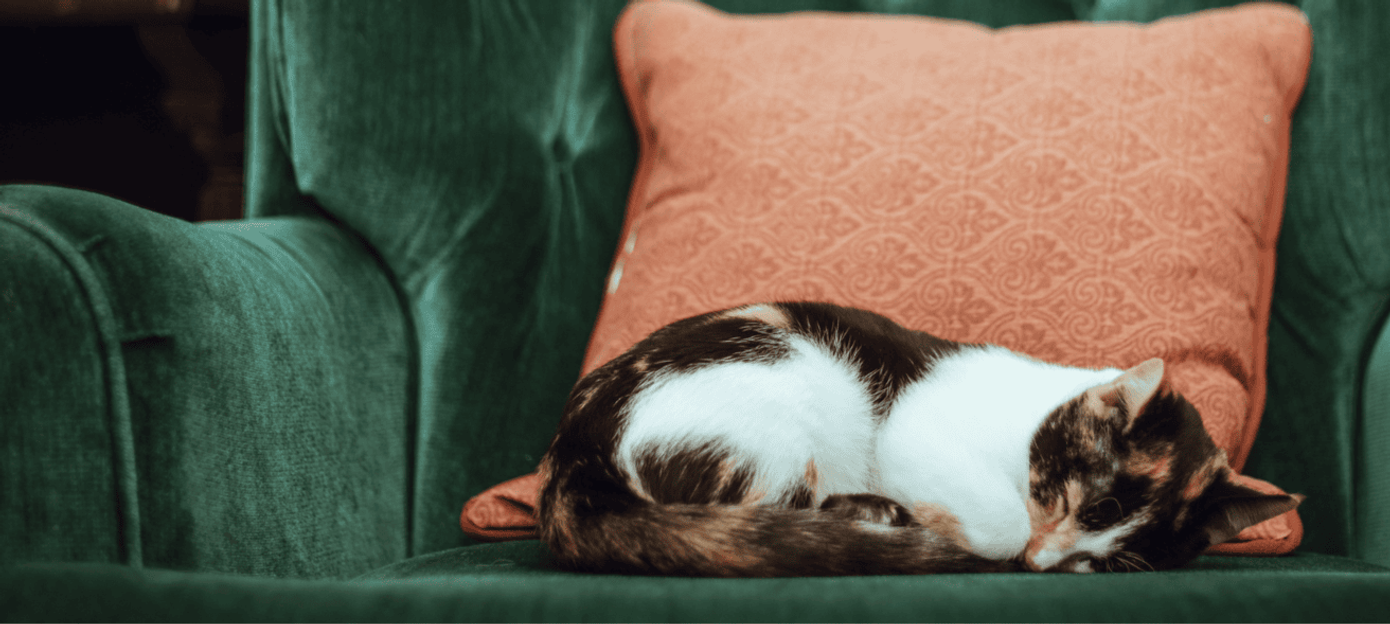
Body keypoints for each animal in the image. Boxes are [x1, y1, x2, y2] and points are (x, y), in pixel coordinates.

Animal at [533, 300, 1301, 572]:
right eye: (1067, 500)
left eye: (1104, 556)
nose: (1042, 563)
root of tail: (574, 443)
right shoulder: (912, 426)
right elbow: (996, 521)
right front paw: (983, 537)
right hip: (793, 379)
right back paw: (881, 518)